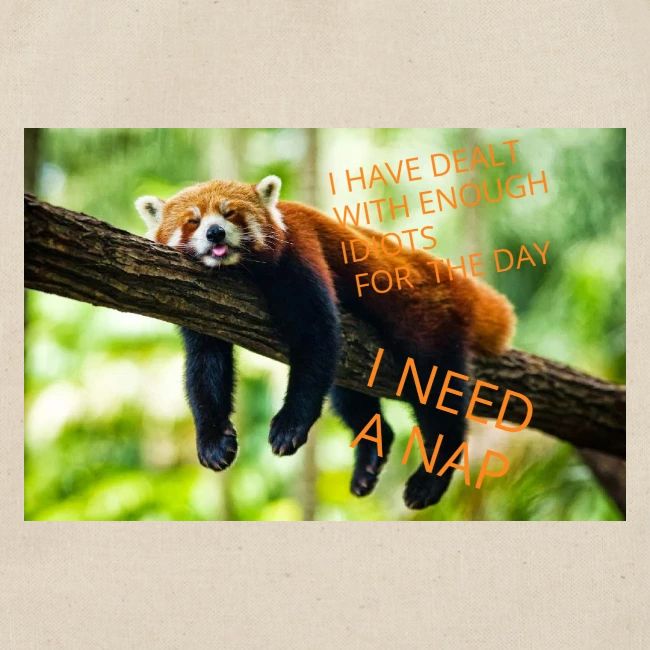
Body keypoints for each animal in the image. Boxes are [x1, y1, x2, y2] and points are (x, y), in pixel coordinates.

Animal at [136, 175, 515, 509]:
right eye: (193, 221)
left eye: (230, 214)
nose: (215, 232)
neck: (238, 270)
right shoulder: (200, 304)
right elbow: (205, 366)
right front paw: (213, 440)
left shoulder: (300, 252)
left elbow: (316, 337)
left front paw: (290, 425)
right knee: (348, 395)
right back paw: (370, 458)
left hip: (426, 322)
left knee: (436, 391)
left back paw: (431, 477)